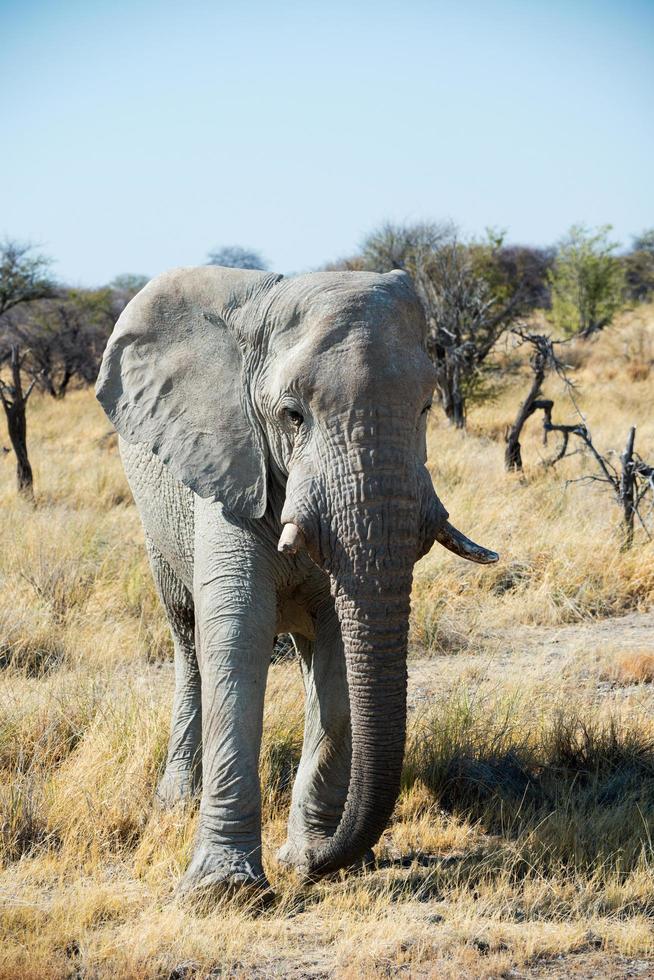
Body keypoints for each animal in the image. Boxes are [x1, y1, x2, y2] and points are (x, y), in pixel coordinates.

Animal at [96, 264, 498, 900]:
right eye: (293, 415)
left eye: (426, 407)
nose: (313, 867)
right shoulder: (230, 465)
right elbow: (237, 634)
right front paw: (224, 891)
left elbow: (338, 653)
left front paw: (306, 855)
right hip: (155, 521)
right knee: (188, 639)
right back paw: (176, 800)